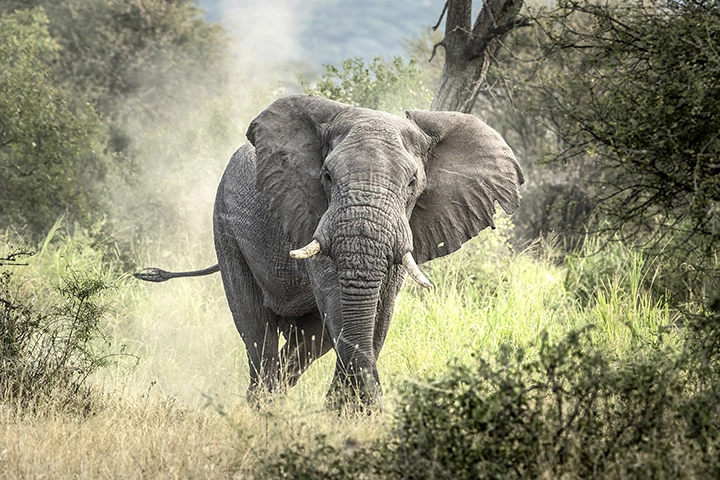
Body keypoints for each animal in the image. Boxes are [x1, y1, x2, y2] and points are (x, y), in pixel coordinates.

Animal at [135, 94, 524, 409]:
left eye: (413, 184)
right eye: (326, 177)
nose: (383, 408)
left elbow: (380, 313)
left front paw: (350, 412)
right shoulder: (312, 214)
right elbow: (339, 301)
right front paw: (358, 411)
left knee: (309, 341)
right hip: (226, 229)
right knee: (256, 330)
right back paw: (262, 408)